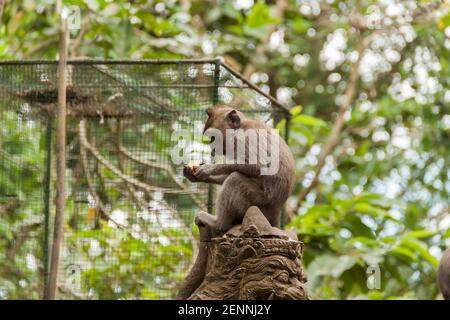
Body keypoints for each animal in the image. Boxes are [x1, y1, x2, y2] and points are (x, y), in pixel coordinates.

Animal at [183, 104, 296, 236]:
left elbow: (256, 166)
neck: (241, 127)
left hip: (258, 204)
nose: (212, 148)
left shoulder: (246, 138)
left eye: (213, 137)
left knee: (234, 179)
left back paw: (218, 224)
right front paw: (197, 176)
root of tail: (276, 212)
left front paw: (207, 169)